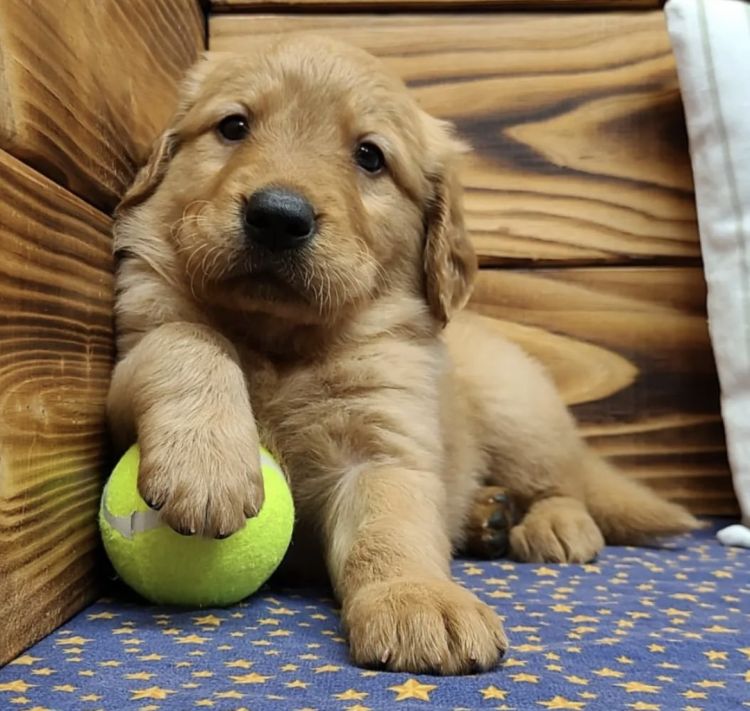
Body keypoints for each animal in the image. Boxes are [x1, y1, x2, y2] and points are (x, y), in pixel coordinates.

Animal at [108, 35, 699, 675]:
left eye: (370, 157)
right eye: (234, 126)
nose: (278, 216)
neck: (281, 340)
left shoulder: (385, 438)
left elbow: (392, 525)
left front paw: (417, 598)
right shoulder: (133, 351)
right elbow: (187, 339)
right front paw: (207, 463)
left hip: (521, 414)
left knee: (564, 483)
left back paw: (554, 523)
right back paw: (486, 515)